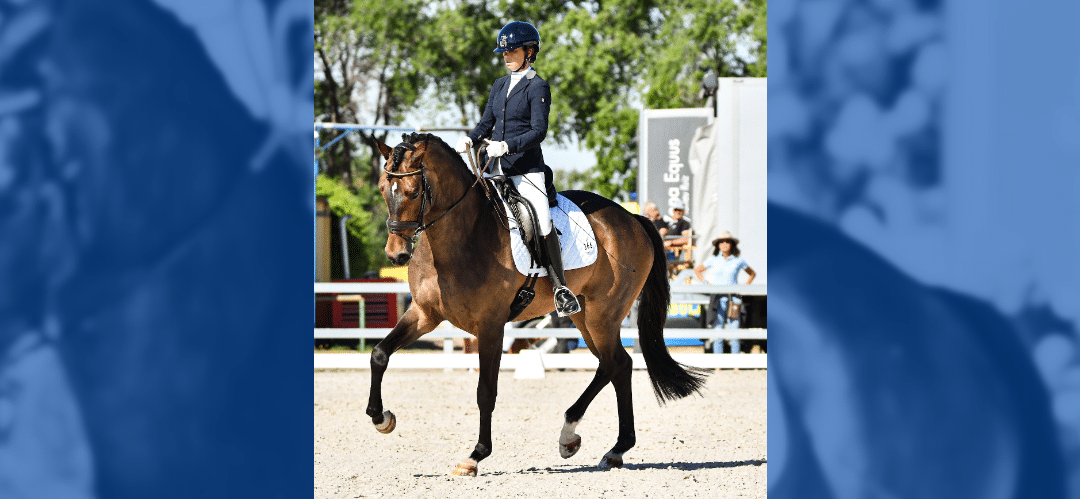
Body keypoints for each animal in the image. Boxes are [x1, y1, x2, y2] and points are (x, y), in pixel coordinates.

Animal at [369, 133, 708, 475]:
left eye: (413, 192)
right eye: (383, 188)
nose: (396, 255)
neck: (459, 237)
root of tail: (634, 219)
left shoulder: (490, 327)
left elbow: (485, 391)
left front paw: (476, 455)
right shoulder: (424, 314)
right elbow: (379, 354)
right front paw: (382, 418)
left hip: (603, 315)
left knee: (618, 364)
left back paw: (610, 446)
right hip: (585, 316)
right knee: (613, 364)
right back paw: (580, 440)